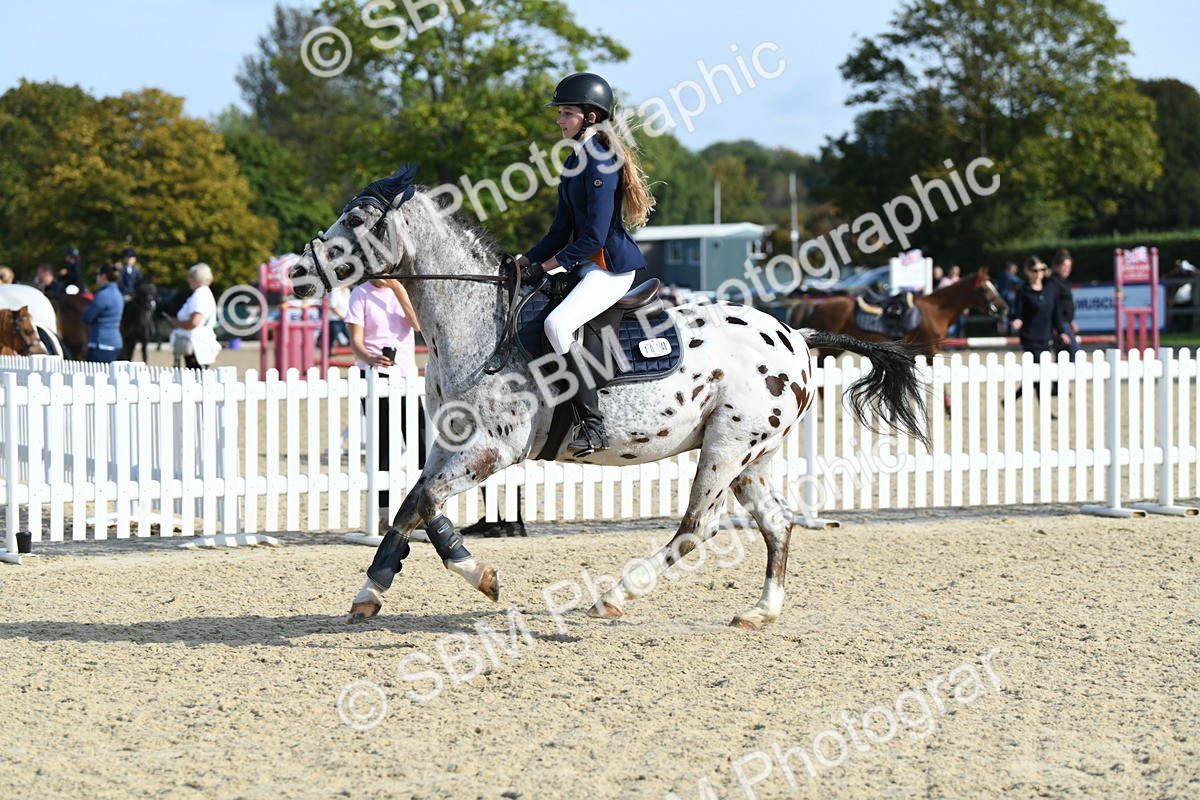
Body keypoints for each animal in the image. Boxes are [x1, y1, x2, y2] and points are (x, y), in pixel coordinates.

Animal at [287, 165, 928, 630]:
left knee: (696, 528)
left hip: (726, 447)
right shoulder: (450, 447)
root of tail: (795, 333)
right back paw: (760, 611)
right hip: (753, 456)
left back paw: (614, 597)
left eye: (356, 218)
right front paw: (371, 590)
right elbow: (411, 507)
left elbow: (423, 505)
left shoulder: (490, 453)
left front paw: (481, 576)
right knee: (776, 523)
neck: (478, 326)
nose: (295, 275)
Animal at [789, 269, 1008, 356]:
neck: (935, 310)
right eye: (984, 289)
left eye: (993, 285)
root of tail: (816, 304)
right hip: (829, 350)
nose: (1004, 307)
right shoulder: (930, 351)